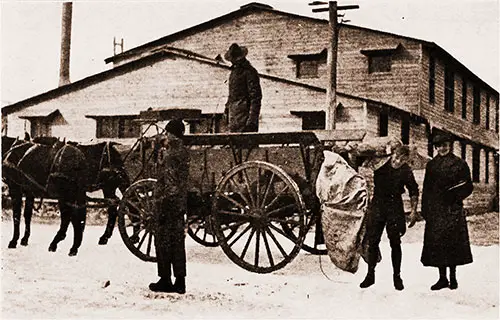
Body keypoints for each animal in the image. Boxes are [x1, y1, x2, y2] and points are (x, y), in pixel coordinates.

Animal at [1, 136, 130, 256]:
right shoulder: (29, 192)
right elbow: (27, 215)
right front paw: (24, 239)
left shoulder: (15, 190)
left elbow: (16, 216)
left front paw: (14, 241)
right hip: (107, 187)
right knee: (112, 208)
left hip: (71, 193)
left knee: (71, 217)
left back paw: (64, 244)